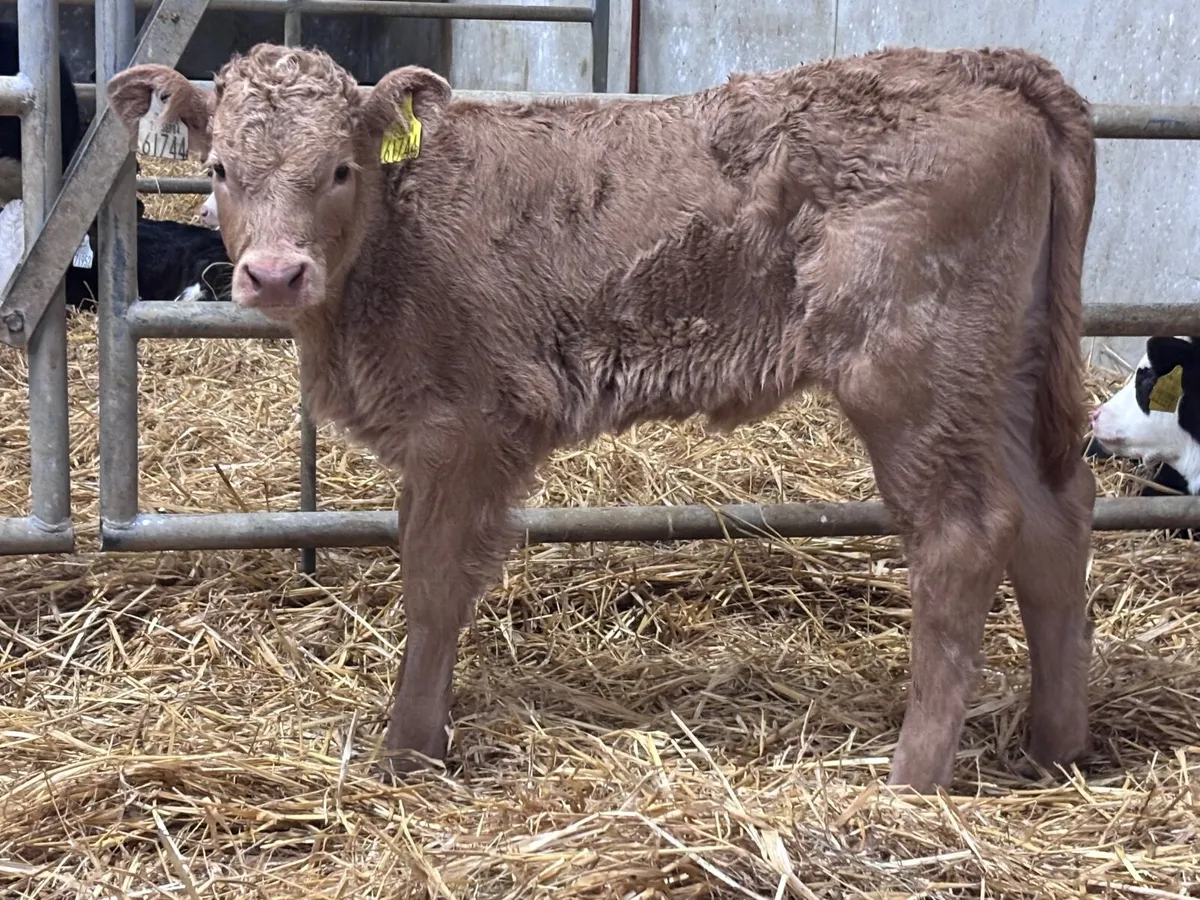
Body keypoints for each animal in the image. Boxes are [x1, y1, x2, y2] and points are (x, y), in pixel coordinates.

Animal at [107, 42, 1099, 794]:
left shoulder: (468, 428)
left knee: (967, 536)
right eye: (219, 170)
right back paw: (1054, 747)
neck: (390, 242)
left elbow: (433, 585)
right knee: (1054, 521)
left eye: (340, 169)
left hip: (908, 375)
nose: (275, 273)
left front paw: (409, 750)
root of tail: (977, 65)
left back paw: (911, 776)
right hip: (996, 379)